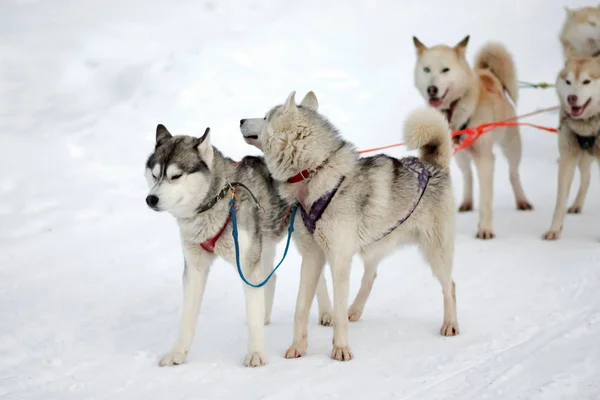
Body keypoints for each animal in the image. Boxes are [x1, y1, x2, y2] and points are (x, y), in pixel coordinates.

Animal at [144, 124, 292, 366]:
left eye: (176, 176)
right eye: (155, 175)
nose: (151, 199)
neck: (216, 200)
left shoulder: (247, 266)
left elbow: (252, 316)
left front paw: (256, 353)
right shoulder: (195, 268)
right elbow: (187, 318)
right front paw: (178, 352)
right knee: (270, 279)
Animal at [412, 35, 536, 238]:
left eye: (445, 69)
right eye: (427, 69)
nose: (432, 89)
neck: (455, 111)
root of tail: (488, 73)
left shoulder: (485, 158)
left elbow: (486, 198)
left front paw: (485, 229)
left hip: (511, 145)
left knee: (513, 173)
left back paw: (522, 200)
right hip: (461, 156)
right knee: (467, 175)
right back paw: (467, 201)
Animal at [544, 51, 600, 239]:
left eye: (586, 81)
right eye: (568, 81)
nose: (571, 98)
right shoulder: (567, 158)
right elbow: (560, 200)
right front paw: (554, 230)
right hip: (582, 157)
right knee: (587, 178)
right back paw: (577, 204)